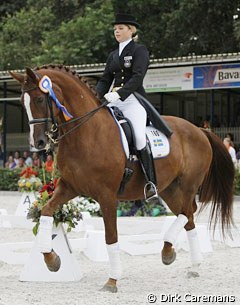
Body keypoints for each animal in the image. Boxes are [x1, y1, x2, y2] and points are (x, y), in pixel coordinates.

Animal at [10, 65, 233, 290]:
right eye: (21, 102)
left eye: (40, 99)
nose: (37, 143)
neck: (86, 134)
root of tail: (200, 130)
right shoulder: (68, 187)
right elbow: (46, 212)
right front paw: (52, 260)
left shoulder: (107, 196)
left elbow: (111, 237)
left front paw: (112, 281)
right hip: (169, 189)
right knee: (188, 217)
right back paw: (188, 262)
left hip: (187, 185)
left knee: (187, 212)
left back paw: (171, 252)